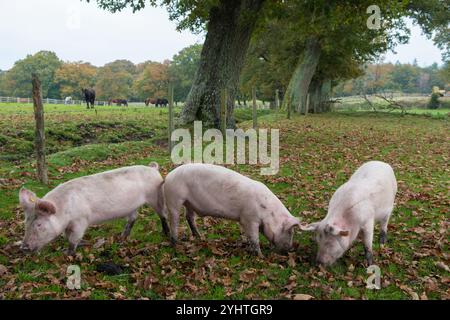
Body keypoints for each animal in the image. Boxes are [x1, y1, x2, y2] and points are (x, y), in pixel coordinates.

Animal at [17, 162, 169, 255]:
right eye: (26, 222)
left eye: (39, 224)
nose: (23, 247)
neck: (64, 210)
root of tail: (153, 168)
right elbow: (67, 236)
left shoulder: (80, 221)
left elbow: (73, 239)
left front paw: (67, 254)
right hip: (133, 206)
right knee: (133, 218)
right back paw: (122, 236)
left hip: (156, 196)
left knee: (163, 215)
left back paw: (165, 233)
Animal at [162, 164, 298, 256]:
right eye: (290, 232)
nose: (290, 249)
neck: (268, 212)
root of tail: (167, 177)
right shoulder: (249, 219)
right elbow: (255, 238)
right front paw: (261, 257)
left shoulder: (245, 220)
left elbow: (248, 236)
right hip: (174, 199)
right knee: (174, 221)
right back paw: (177, 244)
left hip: (189, 203)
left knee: (189, 217)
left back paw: (200, 237)